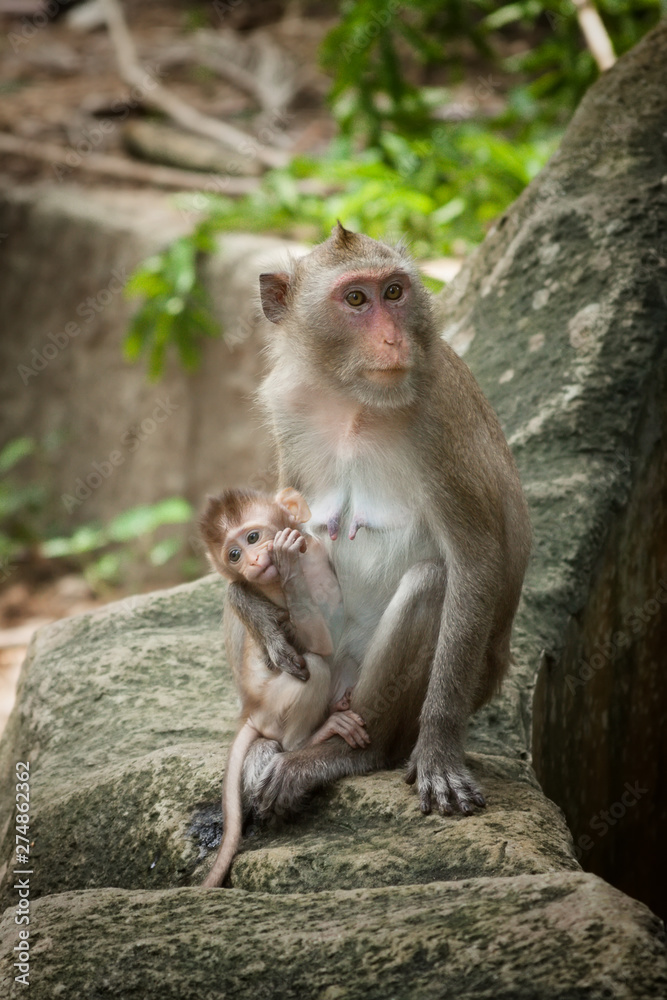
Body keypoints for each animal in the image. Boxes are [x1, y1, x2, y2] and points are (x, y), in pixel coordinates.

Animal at [201, 488, 368, 888]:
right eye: (233, 555)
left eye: (251, 537)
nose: (252, 560)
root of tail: (250, 712)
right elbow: (322, 641)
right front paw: (286, 567)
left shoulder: (319, 555)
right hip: (273, 707)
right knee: (316, 668)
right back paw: (313, 738)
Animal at [241, 225, 532, 820]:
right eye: (356, 299)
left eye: (394, 292)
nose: (394, 340)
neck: (353, 399)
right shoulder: (287, 410)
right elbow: (273, 531)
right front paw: (260, 618)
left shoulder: (440, 422)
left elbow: (475, 563)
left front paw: (439, 754)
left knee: (431, 584)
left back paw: (343, 753)